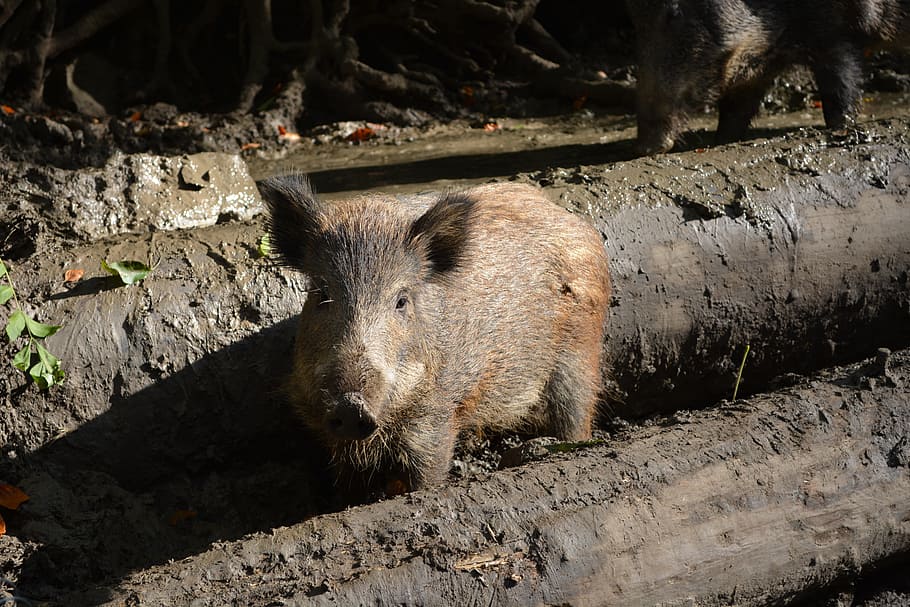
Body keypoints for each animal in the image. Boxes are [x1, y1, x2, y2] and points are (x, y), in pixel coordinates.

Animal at [260, 175, 611, 498]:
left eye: (402, 300)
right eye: (322, 293)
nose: (351, 404)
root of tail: (574, 220)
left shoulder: (438, 410)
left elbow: (427, 472)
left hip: (578, 353)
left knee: (576, 411)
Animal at [625, 0, 910, 154]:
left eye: (674, 14)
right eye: (635, 23)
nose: (645, 148)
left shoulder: (836, 34)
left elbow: (841, 88)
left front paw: (839, 129)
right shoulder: (755, 69)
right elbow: (735, 111)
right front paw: (721, 142)